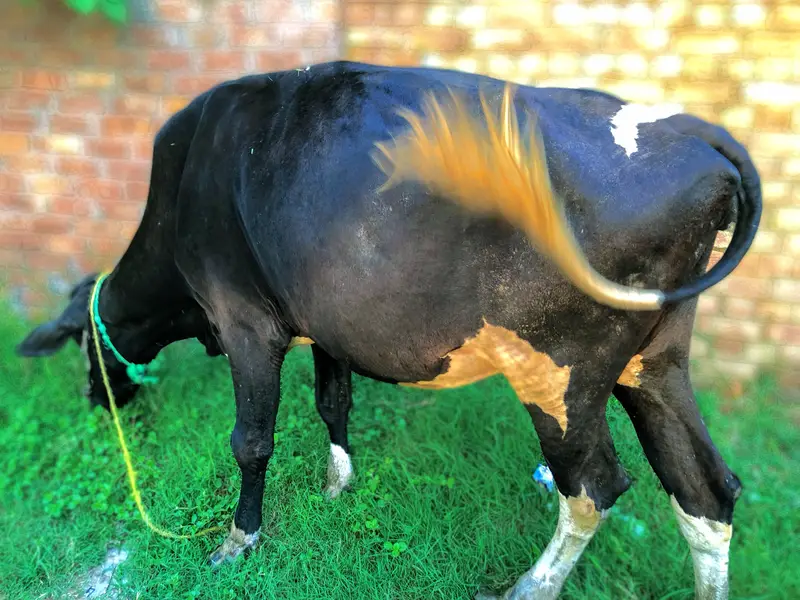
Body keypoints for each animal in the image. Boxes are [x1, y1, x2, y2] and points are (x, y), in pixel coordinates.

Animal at [16, 61, 761, 600]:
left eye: (83, 347)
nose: (95, 401)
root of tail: (690, 132)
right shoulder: (323, 322)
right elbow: (333, 402)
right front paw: (337, 486)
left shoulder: (244, 322)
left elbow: (251, 442)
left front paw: (237, 541)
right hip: (654, 360)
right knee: (706, 489)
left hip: (561, 370)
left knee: (594, 488)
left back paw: (530, 585)